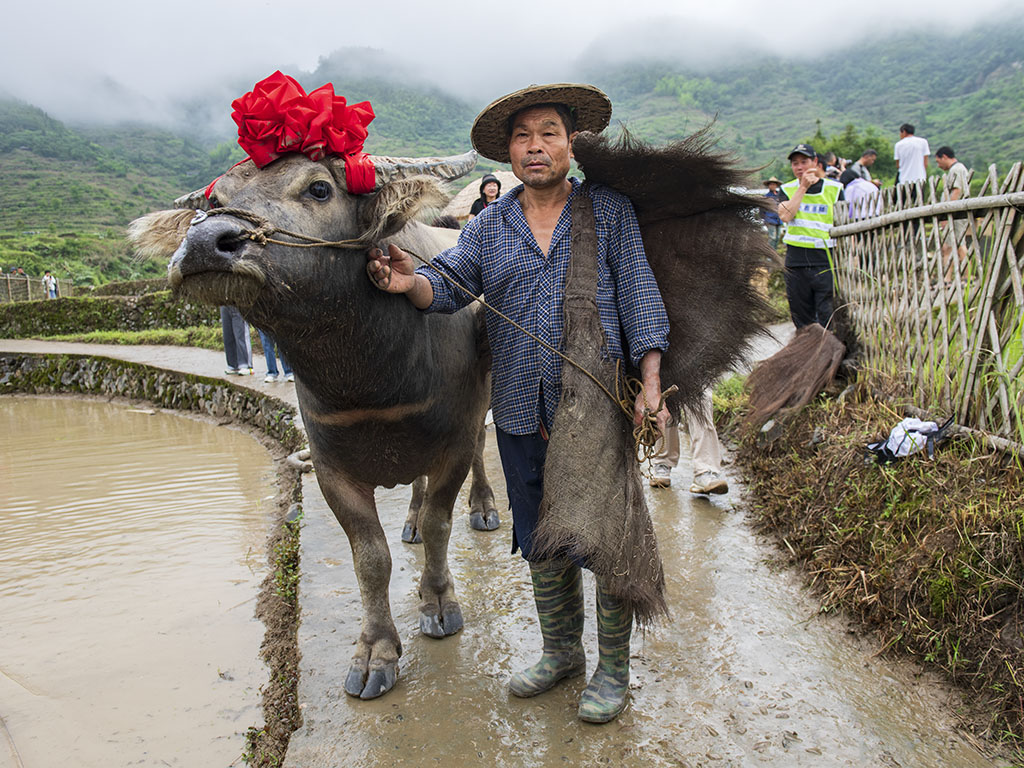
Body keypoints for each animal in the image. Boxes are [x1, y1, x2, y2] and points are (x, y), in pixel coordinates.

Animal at [130, 148, 497, 696]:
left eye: (319, 188)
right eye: (215, 200)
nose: (202, 243)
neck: (374, 375)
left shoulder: (452, 442)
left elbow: (440, 524)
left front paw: (438, 604)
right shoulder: (329, 468)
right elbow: (370, 558)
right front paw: (375, 652)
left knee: (477, 455)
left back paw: (484, 507)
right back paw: (408, 520)